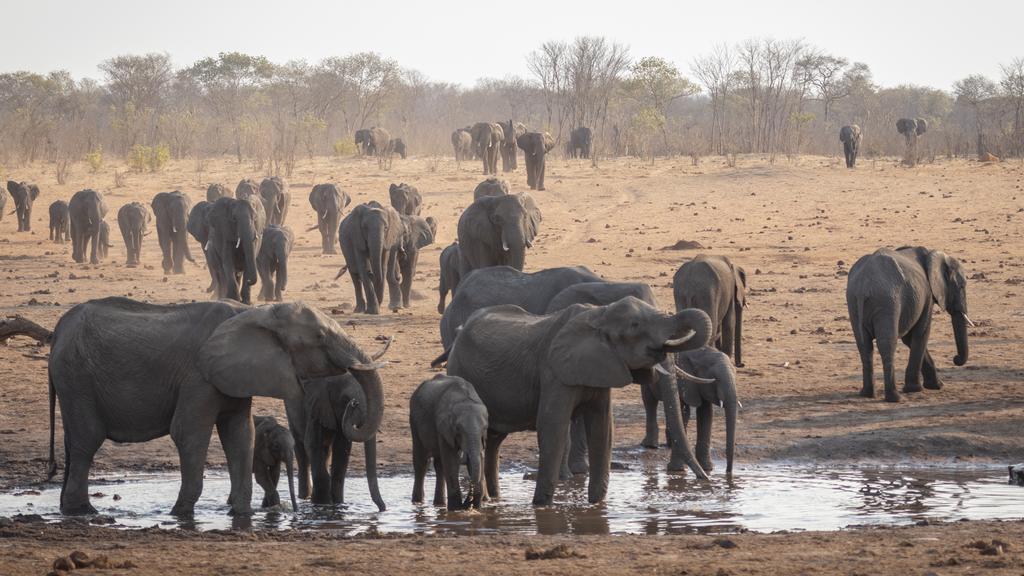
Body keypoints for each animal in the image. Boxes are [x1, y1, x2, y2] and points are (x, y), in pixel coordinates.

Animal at [285, 373, 386, 510]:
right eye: (346, 399)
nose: (353, 404)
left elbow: (342, 449)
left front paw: (338, 504)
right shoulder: (316, 406)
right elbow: (312, 444)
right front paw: (323, 504)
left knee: (326, 451)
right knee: (301, 451)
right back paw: (304, 497)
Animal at [410, 374, 488, 510]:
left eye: (485, 428)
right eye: (458, 429)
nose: (466, 505)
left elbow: (478, 459)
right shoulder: (444, 427)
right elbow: (451, 460)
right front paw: (456, 509)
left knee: (439, 465)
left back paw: (439, 505)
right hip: (414, 420)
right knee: (421, 462)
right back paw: (418, 502)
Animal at [435, 297, 713, 505]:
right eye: (635, 325)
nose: (706, 481)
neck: (598, 314)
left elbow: (603, 429)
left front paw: (596, 505)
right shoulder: (554, 371)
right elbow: (553, 427)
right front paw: (542, 507)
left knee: (493, 440)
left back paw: (493, 499)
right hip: (461, 369)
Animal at [846, 246, 970, 403]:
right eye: (961, 286)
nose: (955, 359)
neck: (931, 255)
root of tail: (863, 286)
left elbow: (909, 339)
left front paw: (937, 385)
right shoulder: (927, 296)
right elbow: (921, 333)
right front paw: (916, 389)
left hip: (854, 302)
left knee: (864, 345)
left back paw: (866, 394)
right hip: (887, 301)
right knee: (887, 344)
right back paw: (894, 397)